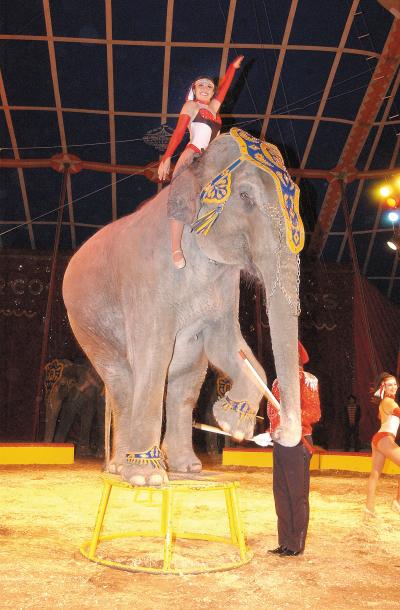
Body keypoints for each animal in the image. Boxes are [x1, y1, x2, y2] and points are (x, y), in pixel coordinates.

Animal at [62, 127, 304, 484]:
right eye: (245, 196)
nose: (276, 435)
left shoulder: (224, 283)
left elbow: (226, 345)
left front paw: (232, 423)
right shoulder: (149, 277)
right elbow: (154, 354)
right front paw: (147, 479)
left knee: (187, 381)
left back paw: (185, 467)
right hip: (88, 328)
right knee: (123, 383)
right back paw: (126, 468)